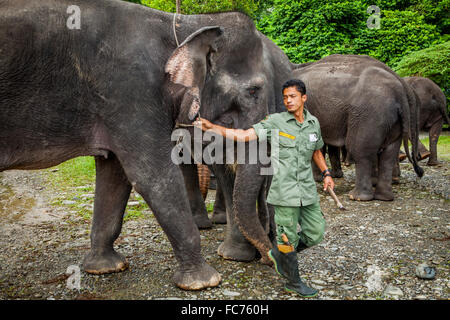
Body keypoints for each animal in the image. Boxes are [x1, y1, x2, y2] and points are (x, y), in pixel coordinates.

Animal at [0, 0, 290, 290]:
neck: (180, 24)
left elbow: (114, 175)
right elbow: (153, 176)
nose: (268, 259)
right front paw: (204, 281)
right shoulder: (131, 91)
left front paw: (105, 268)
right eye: (253, 91)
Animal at [290, 54, 424, 200]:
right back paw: (384, 196)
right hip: (391, 120)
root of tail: (401, 93)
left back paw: (357, 196)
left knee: (361, 151)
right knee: (388, 153)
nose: (421, 172)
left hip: (368, 115)